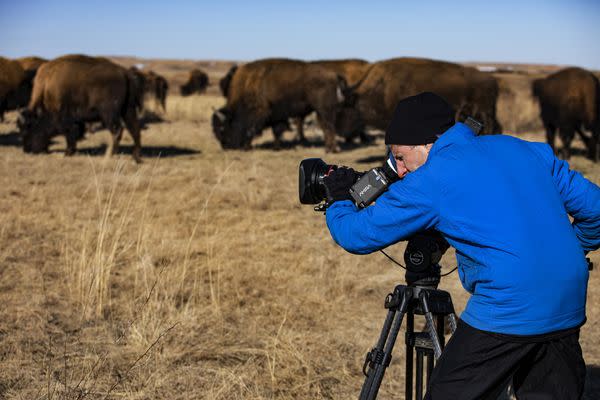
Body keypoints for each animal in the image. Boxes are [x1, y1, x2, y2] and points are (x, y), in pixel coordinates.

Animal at [212, 58, 350, 152]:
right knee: (326, 127)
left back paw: (331, 149)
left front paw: (249, 147)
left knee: (329, 126)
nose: (226, 146)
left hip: (325, 110)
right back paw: (328, 148)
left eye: (223, 128)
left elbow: (256, 131)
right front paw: (276, 147)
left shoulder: (261, 114)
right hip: (320, 111)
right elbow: (276, 131)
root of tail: (334, 75)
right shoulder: (275, 116)